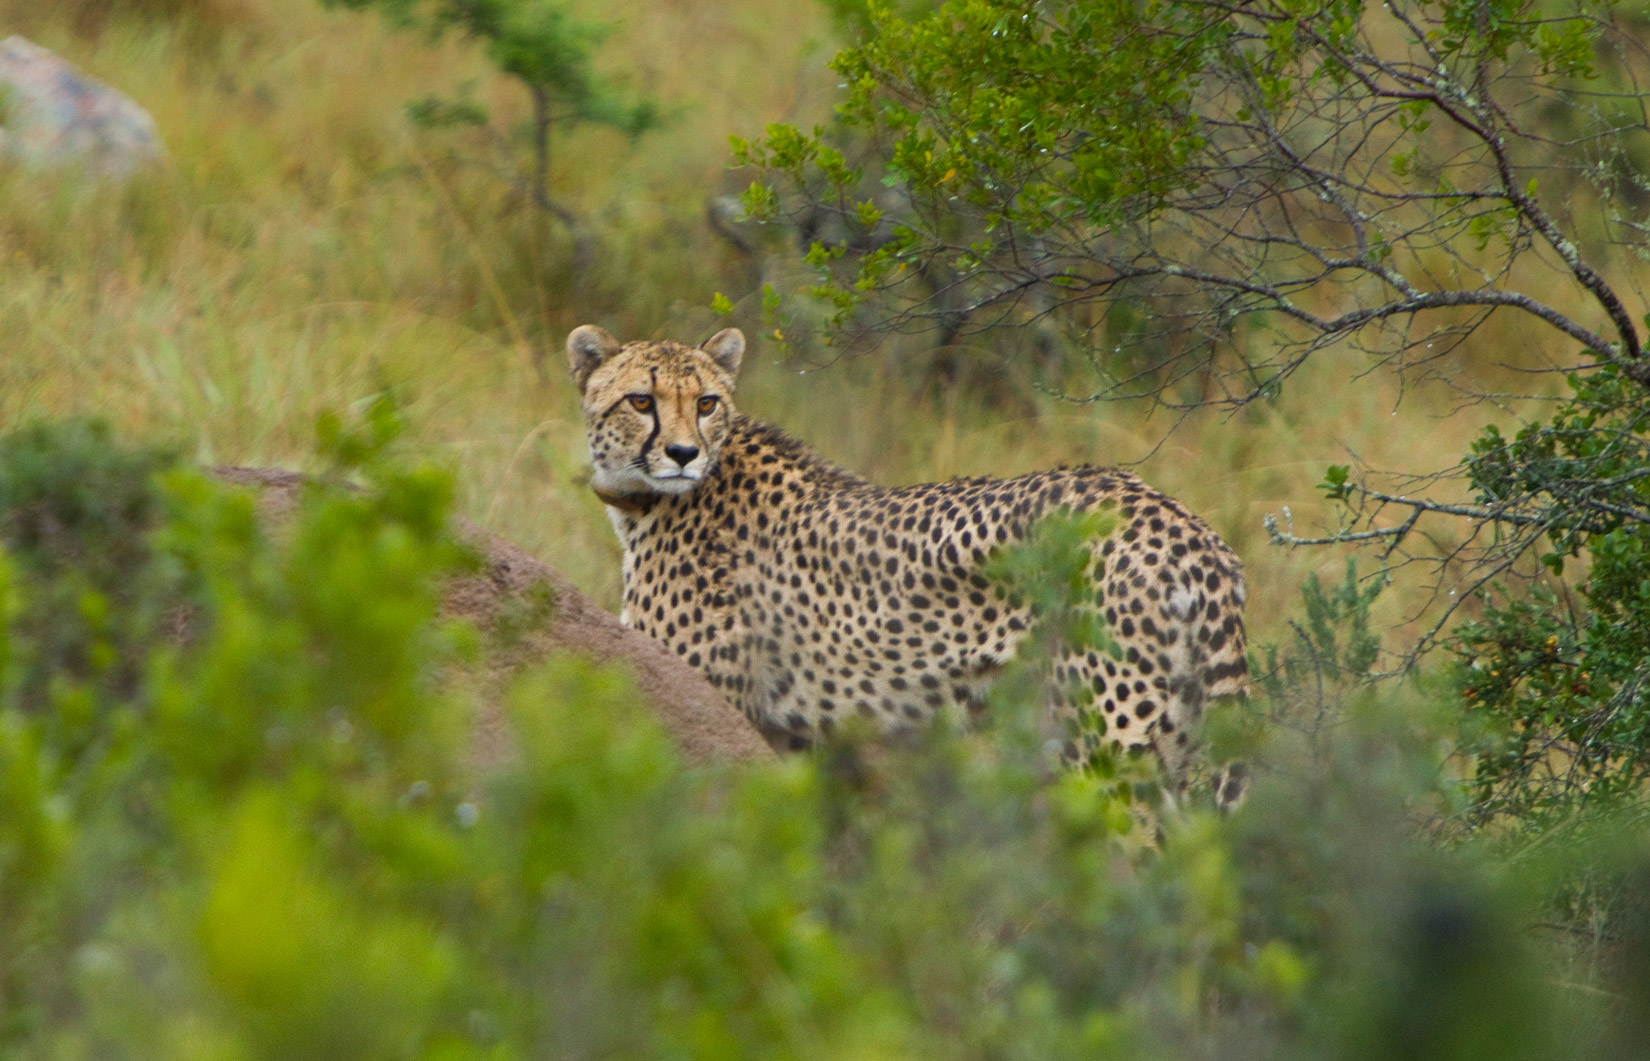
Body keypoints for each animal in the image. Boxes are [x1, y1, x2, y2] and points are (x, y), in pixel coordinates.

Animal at [570, 323, 1247, 805]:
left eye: (707, 403)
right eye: (641, 400)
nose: (683, 453)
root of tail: (1174, 518)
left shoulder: (718, 710)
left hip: (1109, 752)